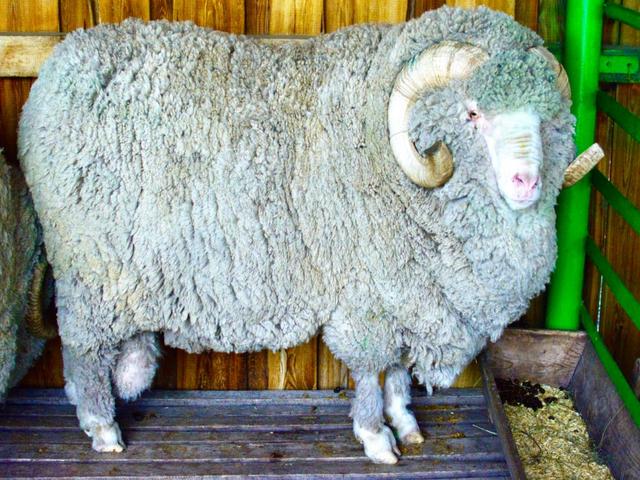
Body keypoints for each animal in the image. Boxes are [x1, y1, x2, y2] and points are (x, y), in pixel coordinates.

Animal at [17, 5, 592, 463]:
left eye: (548, 117)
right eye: (472, 113)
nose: (526, 183)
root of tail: (55, 70)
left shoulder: (403, 291)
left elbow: (398, 371)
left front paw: (405, 422)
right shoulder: (366, 294)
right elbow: (372, 368)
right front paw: (376, 438)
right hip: (88, 269)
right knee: (83, 348)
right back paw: (102, 428)